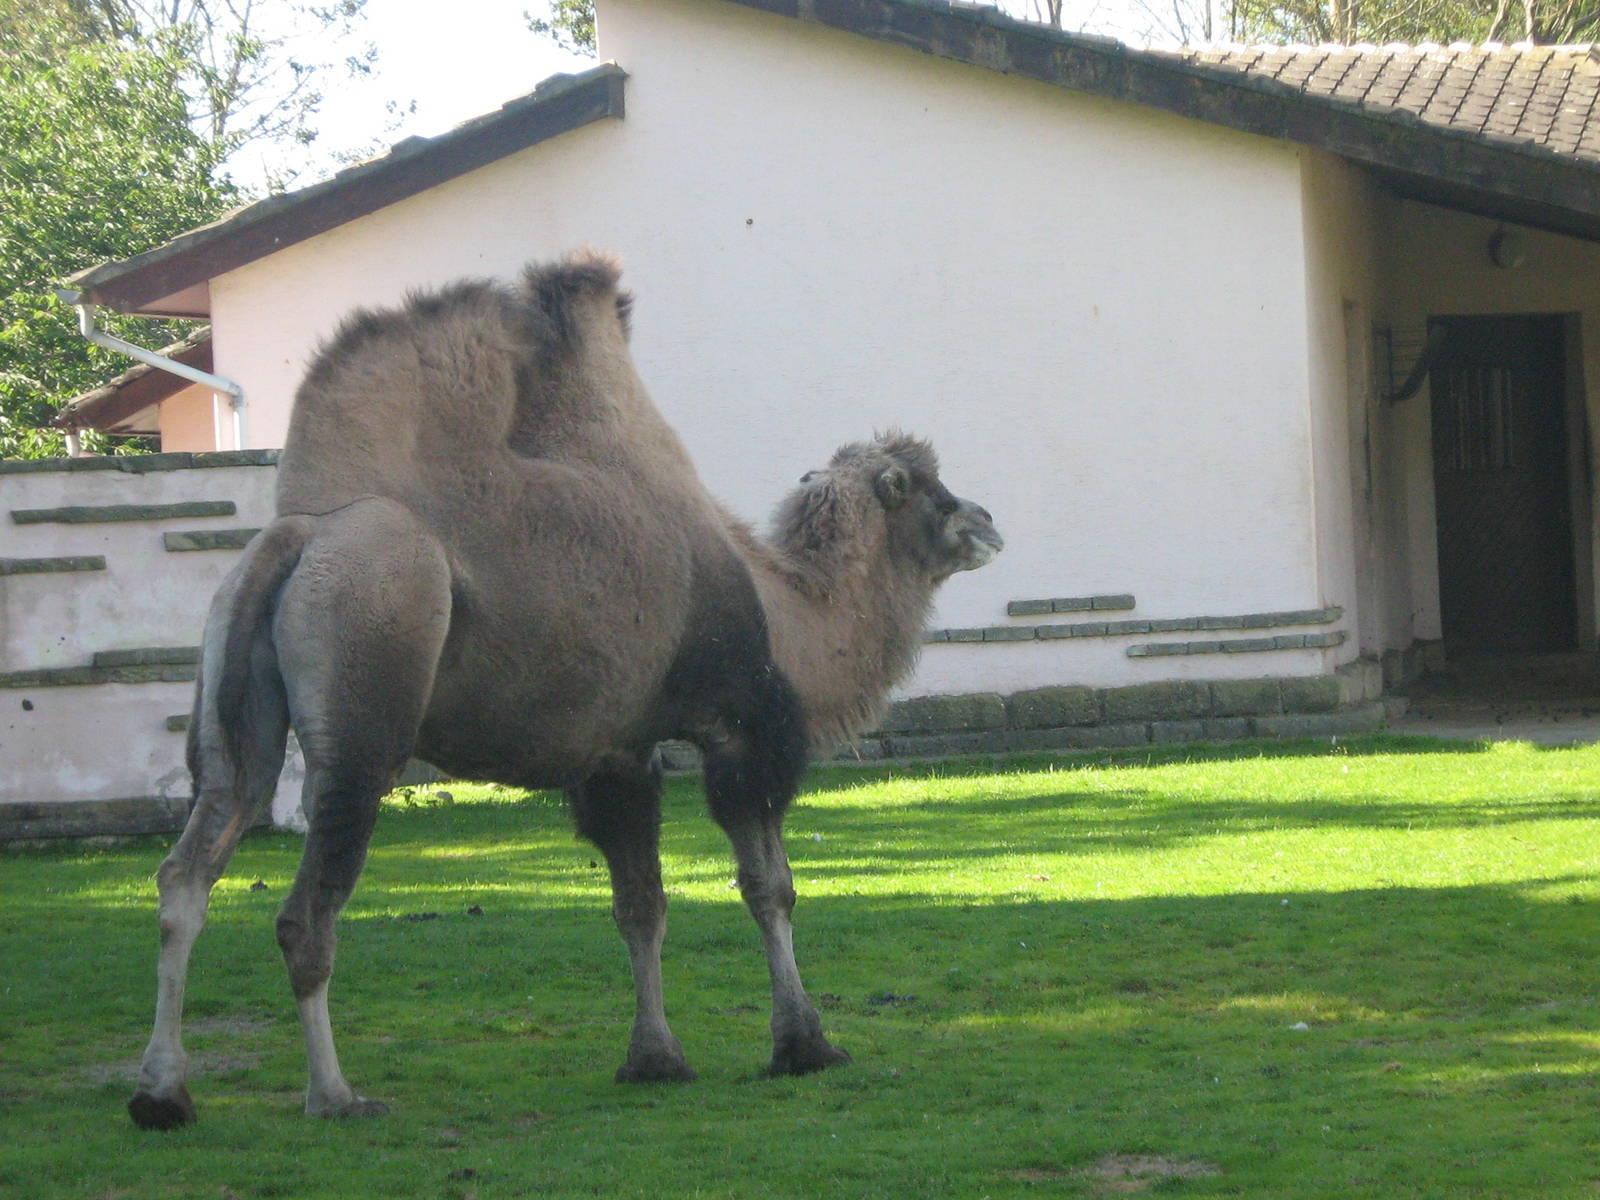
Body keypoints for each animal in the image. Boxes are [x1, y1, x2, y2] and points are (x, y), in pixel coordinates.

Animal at [126, 253, 1003, 1129]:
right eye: (931, 489)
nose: (990, 522)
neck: (791, 616)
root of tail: (299, 537)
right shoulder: (742, 734)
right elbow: (770, 890)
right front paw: (804, 1044)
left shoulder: (616, 752)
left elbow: (640, 905)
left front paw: (654, 1058)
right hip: (363, 704)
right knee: (305, 912)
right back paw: (335, 1095)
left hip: (231, 706)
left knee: (189, 870)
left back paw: (163, 1092)